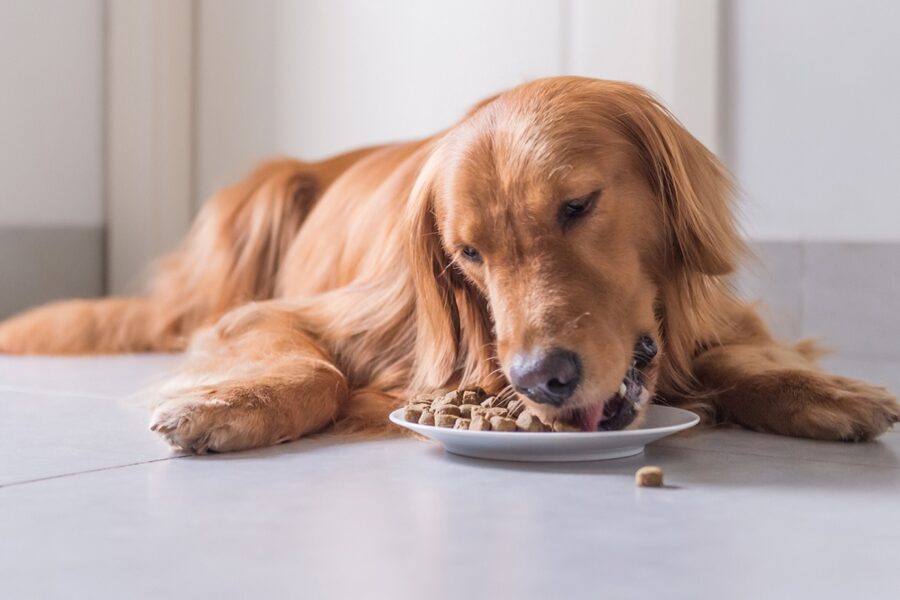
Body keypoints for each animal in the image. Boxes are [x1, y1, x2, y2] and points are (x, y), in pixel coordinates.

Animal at [0, 77, 896, 450]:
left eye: (578, 206)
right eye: (468, 255)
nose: (542, 380)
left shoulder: (720, 315)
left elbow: (745, 356)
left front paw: (826, 392)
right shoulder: (280, 314)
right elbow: (316, 369)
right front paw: (230, 404)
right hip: (252, 208)